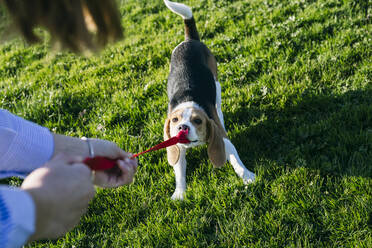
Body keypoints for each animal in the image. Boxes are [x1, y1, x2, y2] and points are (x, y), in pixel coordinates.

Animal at [164, 0, 258, 200]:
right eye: (174, 120)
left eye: (198, 121)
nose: (182, 127)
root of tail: (190, 40)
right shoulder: (177, 147)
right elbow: (179, 171)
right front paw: (180, 193)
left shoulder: (221, 138)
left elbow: (235, 158)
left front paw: (247, 176)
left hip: (217, 86)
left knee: (219, 107)